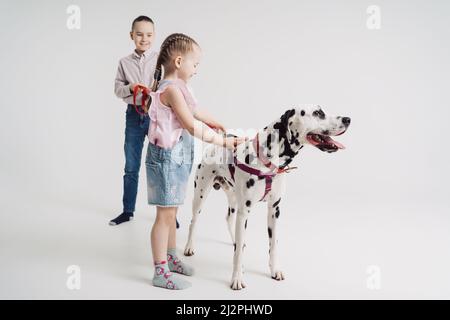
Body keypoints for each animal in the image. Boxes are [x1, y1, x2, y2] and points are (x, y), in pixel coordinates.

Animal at [184, 105, 352, 290]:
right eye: (317, 113)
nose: (348, 119)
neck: (267, 160)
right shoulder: (245, 212)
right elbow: (238, 254)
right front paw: (237, 278)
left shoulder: (274, 210)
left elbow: (273, 245)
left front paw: (275, 270)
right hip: (201, 194)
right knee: (194, 221)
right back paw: (189, 247)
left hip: (234, 199)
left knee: (230, 219)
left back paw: (236, 241)